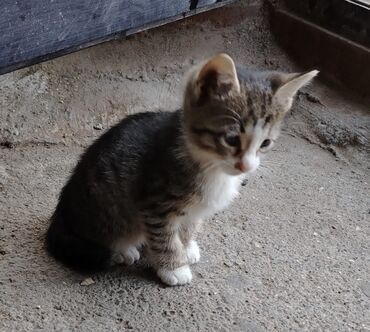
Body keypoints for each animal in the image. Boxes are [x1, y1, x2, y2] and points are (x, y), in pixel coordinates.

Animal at [46, 53, 318, 286]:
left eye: (266, 143)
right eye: (231, 139)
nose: (246, 166)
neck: (209, 164)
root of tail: (60, 216)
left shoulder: (192, 209)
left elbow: (188, 227)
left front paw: (186, 248)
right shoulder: (155, 204)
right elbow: (164, 238)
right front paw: (173, 268)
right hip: (104, 205)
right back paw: (124, 249)